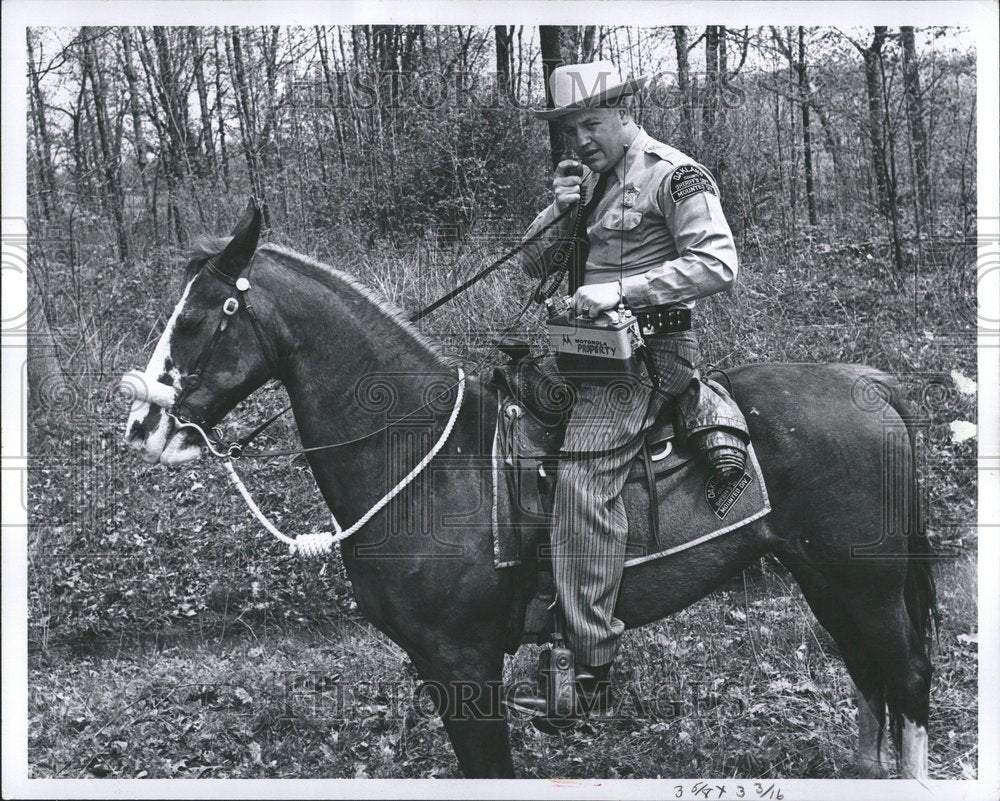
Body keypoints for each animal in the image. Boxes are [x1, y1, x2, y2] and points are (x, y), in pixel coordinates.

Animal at [123, 203, 936, 780]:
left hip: (864, 582)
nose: (142, 425)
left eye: (193, 319)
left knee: (907, 678)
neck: (426, 457)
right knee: (870, 677)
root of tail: (872, 383)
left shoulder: (463, 660)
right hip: (825, 578)